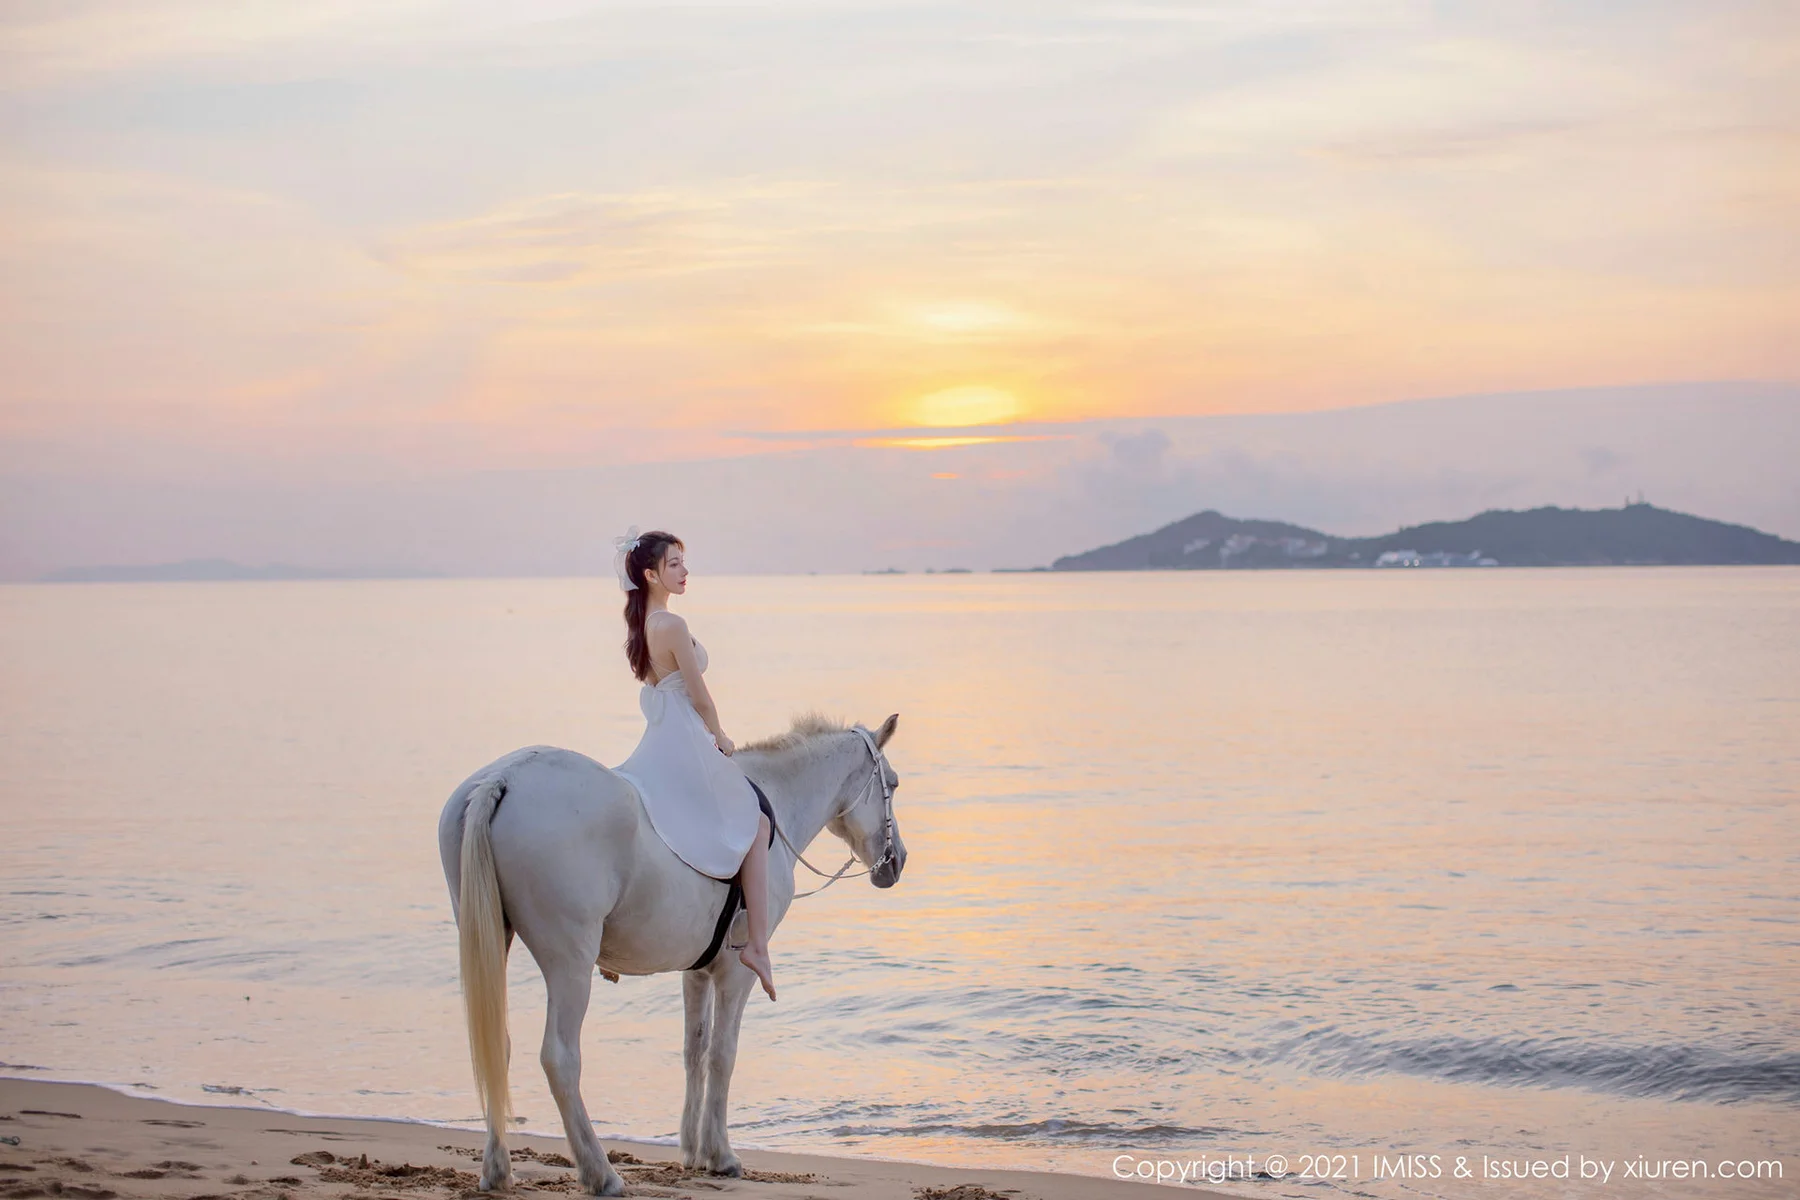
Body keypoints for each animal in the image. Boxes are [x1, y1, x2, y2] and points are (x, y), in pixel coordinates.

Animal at [436, 711, 906, 1196]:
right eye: (892, 783)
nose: (896, 862)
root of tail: (504, 777)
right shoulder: (736, 973)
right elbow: (723, 1054)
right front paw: (720, 1154)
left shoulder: (696, 972)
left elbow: (693, 1051)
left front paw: (693, 1151)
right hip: (570, 964)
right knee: (560, 1059)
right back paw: (601, 1173)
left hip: (494, 939)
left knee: (497, 1046)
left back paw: (497, 1169)